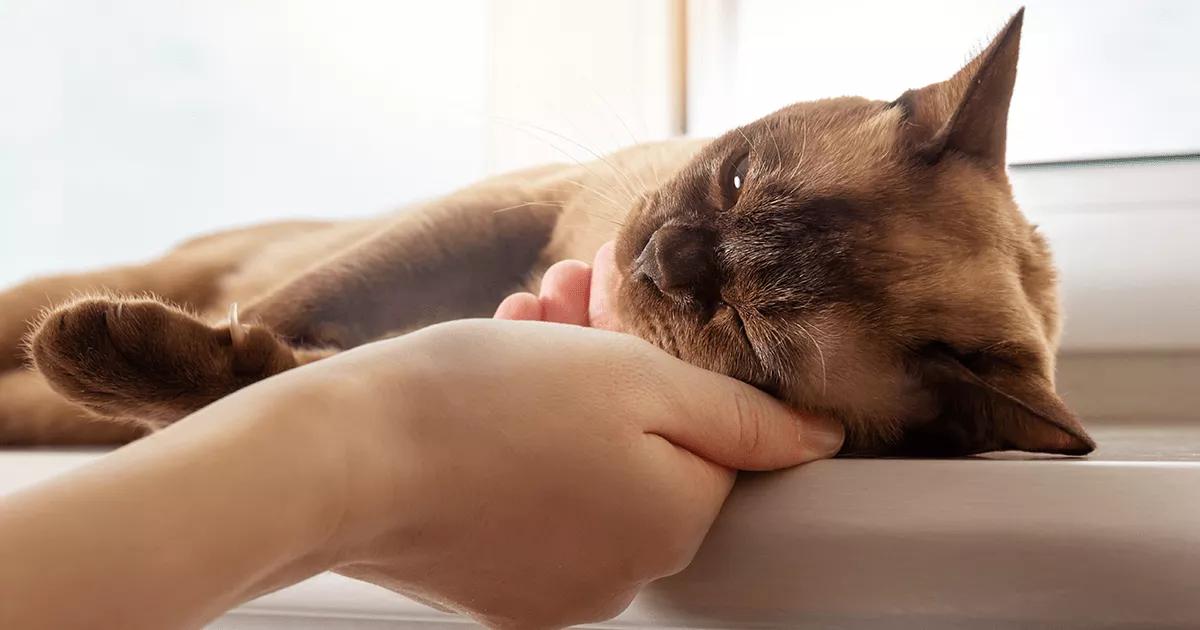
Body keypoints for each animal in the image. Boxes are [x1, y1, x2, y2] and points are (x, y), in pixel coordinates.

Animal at [0, 7, 1094, 453]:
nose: (660, 257)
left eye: (746, 333)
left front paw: (145, 365)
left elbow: (270, 376)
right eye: (735, 177)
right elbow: (292, 308)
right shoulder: (507, 212)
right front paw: (147, 349)